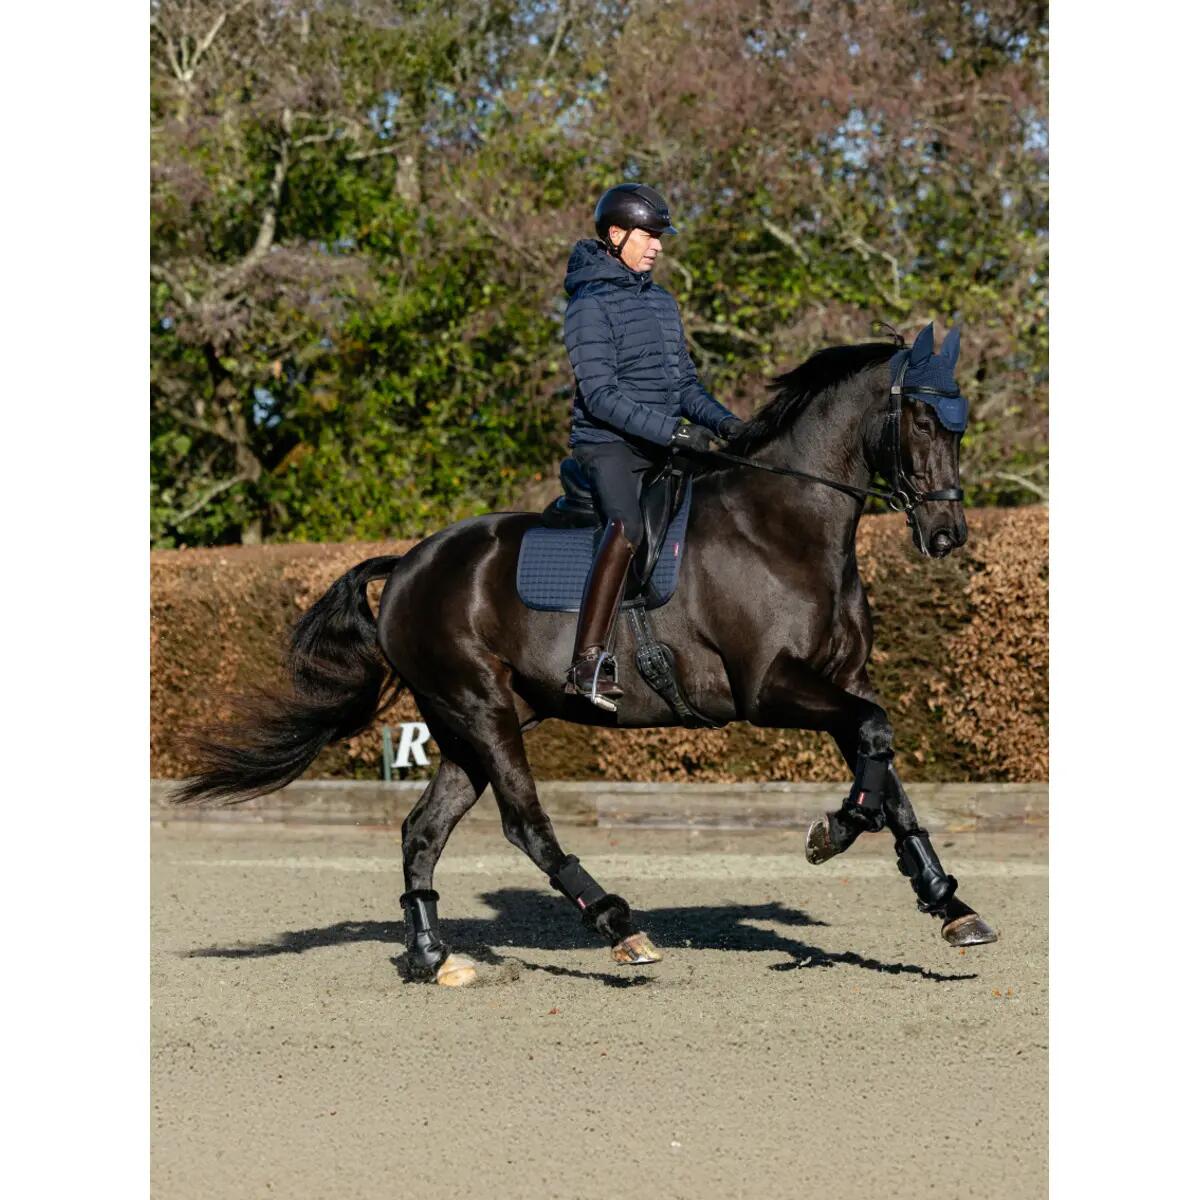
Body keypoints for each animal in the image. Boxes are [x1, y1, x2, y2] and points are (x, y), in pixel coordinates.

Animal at [176, 322, 998, 987]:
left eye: (962, 425)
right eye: (922, 417)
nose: (947, 535)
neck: (784, 525)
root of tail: (406, 563)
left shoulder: (841, 679)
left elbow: (884, 760)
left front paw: (948, 902)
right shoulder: (770, 688)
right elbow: (873, 740)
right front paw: (834, 831)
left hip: (471, 724)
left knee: (422, 830)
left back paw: (431, 955)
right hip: (480, 708)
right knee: (524, 824)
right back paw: (617, 926)